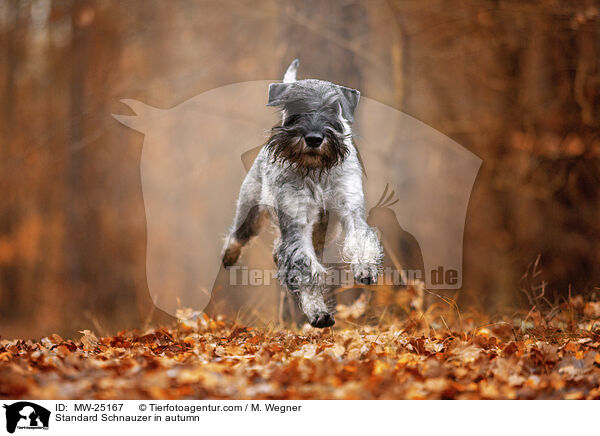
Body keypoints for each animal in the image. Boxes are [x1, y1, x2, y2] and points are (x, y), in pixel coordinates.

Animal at [221, 58, 384, 328]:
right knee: (239, 235)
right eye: (294, 106)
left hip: (324, 232)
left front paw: (365, 268)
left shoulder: (350, 208)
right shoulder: (297, 222)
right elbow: (304, 267)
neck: (317, 170)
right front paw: (318, 312)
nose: (314, 138)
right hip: (251, 212)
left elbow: (360, 238)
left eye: (333, 108)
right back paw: (229, 256)